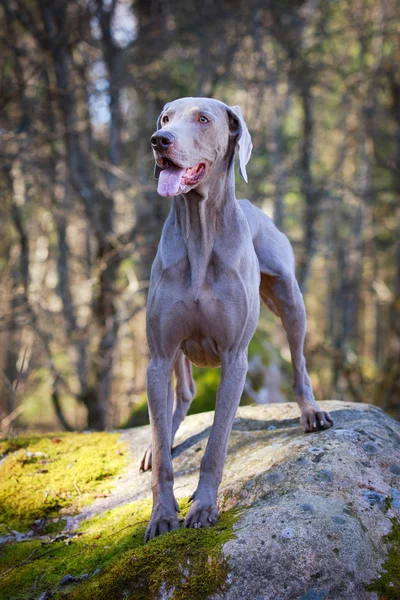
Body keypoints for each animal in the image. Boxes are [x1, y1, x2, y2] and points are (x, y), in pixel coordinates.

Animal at [139, 96, 332, 540]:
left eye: (203, 119)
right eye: (165, 118)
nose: (159, 140)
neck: (199, 232)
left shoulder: (235, 359)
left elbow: (216, 447)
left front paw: (203, 507)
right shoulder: (158, 355)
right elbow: (163, 458)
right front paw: (162, 515)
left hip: (290, 299)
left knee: (299, 363)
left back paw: (311, 411)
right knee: (183, 396)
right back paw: (157, 441)